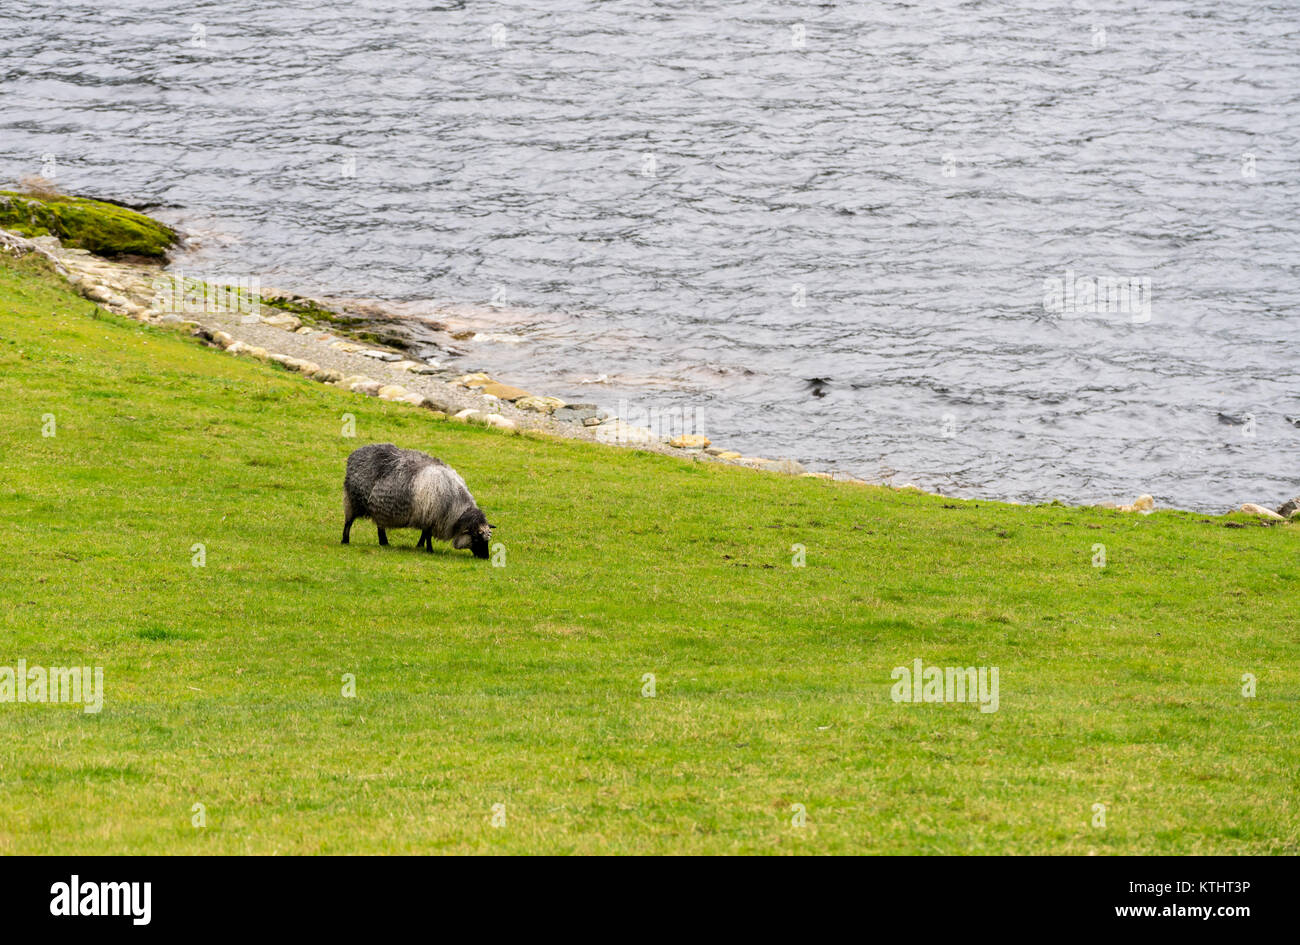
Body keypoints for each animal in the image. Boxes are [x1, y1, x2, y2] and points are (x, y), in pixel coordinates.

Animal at [340, 447, 491, 558]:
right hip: (353, 500)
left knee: (380, 526)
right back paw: (345, 541)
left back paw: (384, 543)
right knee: (348, 522)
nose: (485, 557)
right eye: (476, 538)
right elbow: (428, 535)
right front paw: (429, 550)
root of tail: (355, 454)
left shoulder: (427, 516)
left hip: (378, 507)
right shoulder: (431, 516)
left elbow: (424, 533)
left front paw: (419, 546)